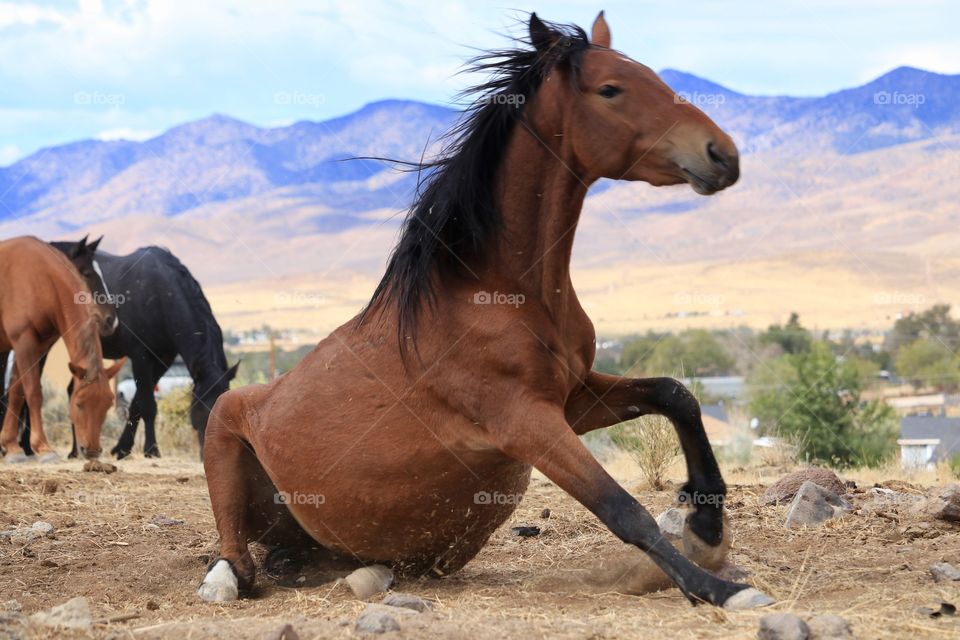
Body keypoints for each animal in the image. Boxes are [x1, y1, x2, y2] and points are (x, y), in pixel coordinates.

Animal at [0, 235, 124, 460]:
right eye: (79, 404)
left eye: (108, 404)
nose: (91, 451)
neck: (39, 279)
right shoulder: (23, 343)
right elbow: (33, 392)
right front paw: (42, 447)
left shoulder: (37, 347)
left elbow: (16, 391)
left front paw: (11, 446)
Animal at [19, 238, 239, 458]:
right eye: (201, 410)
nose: (211, 454)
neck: (160, 293)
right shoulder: (141, 357)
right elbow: (148, 405)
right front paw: (151, 449)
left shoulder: (163, 360)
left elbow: (137, 404)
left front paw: (122, 448)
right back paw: (29, 446)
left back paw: (74, 450)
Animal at [201, 11, 772, 608]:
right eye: (611, 90)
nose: (721, 154)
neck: (501, 292)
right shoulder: (524, 421)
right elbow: (622, 509)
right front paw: (719, 588)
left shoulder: (571, 398)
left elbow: (676, 395)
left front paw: (707, 527)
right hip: (221, 427)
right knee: (237, 559)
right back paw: (224, 581)